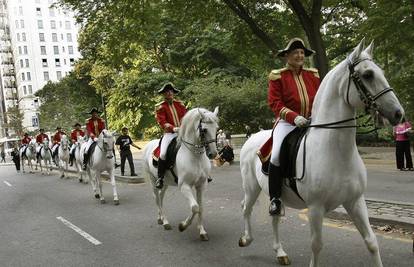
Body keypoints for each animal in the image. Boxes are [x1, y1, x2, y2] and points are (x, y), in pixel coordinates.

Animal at [142, 108, 218, 242]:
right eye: (204, 130)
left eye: (217, 128)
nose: (213, 154)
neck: (195, 156)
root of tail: (148, 145)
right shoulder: (184, 186)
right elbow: (195, 207)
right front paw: (183, 226)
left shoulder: (201, 185)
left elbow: (201, 208)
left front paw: (202, 231)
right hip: (153, 180)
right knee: (156, 198)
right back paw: (165, 221)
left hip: (165, 183)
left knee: (160, 197)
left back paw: (161, 218)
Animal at [238, 39, 402, 267]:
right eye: (368, 74)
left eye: (381, 71)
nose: (398, 113)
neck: (337, 152)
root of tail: (252, 137)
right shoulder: (315, 209)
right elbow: (316, 246)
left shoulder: (355, 201)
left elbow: (371, 241)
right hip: (251, 187)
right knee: (246, 208)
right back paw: (246, 239)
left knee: (275, 218)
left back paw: (280, 252)